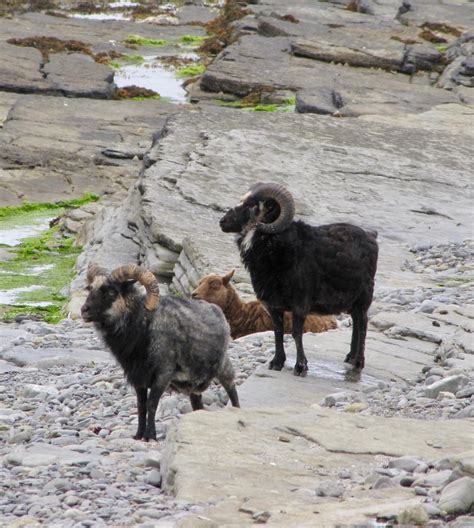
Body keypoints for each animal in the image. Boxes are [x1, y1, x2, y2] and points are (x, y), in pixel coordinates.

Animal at [81, 264, 241, 442]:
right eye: (90, 288)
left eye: (111, 292)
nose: (84, 310)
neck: (143, 325)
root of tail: (217, 310)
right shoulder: (138, 377)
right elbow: (141, 406)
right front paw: (138, 435)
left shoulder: (163, 373)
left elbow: (152, 404)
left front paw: (150, 435)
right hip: (193, 382)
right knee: (197, 402)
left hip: (223, 365)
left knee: (231, 388)